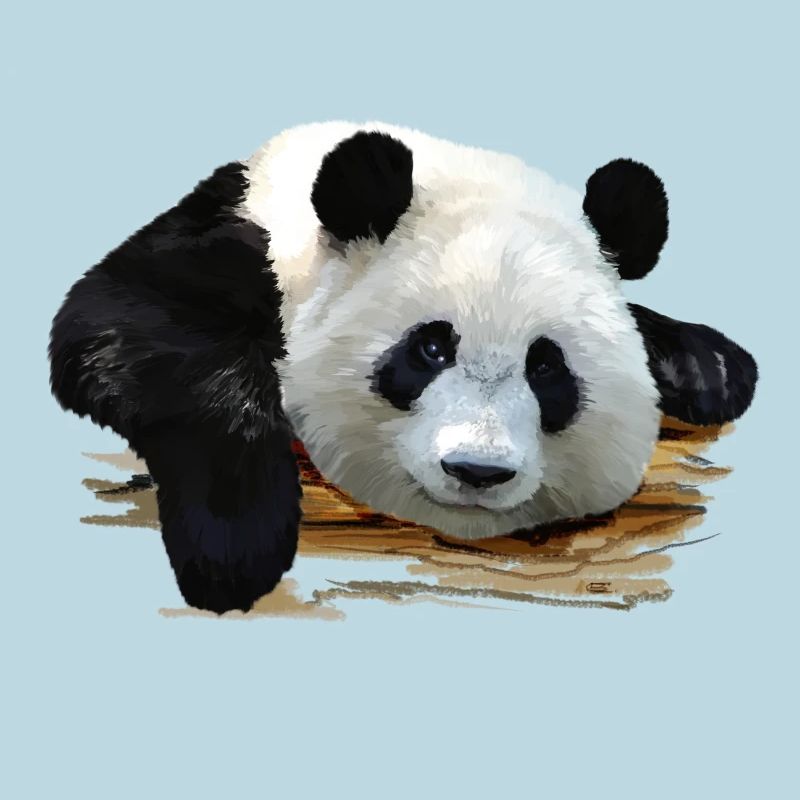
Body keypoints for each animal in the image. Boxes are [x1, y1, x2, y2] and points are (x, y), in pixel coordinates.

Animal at [49, 121, 758, 614]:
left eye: (546, 367)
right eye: (431, 349)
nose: (477, 471)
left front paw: (712, 367)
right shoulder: (228, 241)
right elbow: (122, 329)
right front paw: (232, 547)